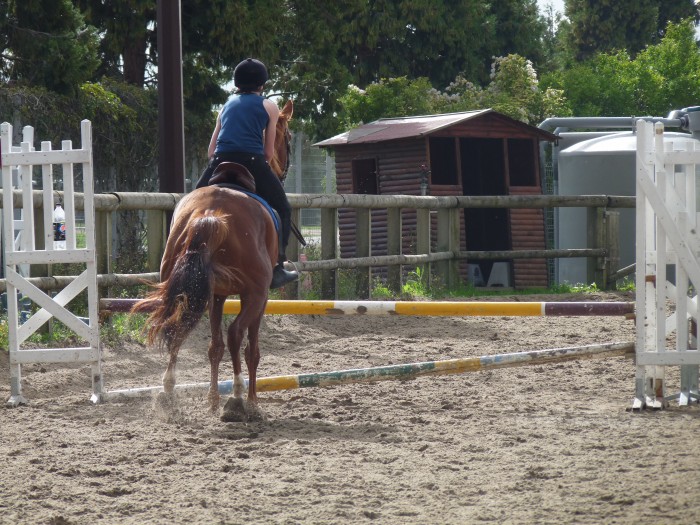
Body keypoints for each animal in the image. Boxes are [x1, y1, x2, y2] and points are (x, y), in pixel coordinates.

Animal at [134, 98, 296, 420]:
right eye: (288, 137)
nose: (284, 170)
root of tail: (210, 214)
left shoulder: (217, 295)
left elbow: (214, 347)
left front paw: (211, 400)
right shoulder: (259, 297)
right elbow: (250, 349)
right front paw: (251, 401)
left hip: (184, 289)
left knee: (177, 326)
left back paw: (168, 393)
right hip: (254, 293)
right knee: (235, 335)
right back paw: (237, 398)